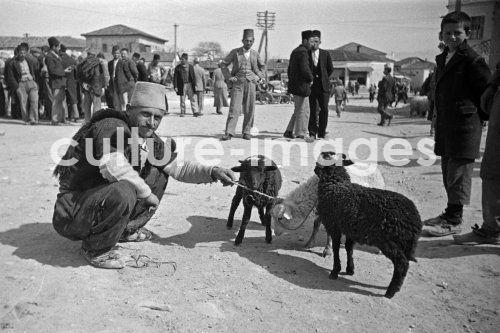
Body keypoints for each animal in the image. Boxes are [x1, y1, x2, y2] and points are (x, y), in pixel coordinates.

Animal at [316, 152, 422, 296]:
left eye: (324, 157)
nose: (315, 168)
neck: (336, 184)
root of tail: (415, 220)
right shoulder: (350, 228)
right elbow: (349, 248)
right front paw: (350, 269)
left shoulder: (334, 225)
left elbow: (336, 248)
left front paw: (335, 271)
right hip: (404, 244)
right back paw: (394, 286)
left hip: (388, 241)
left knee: (402, 264)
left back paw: (390, 292)